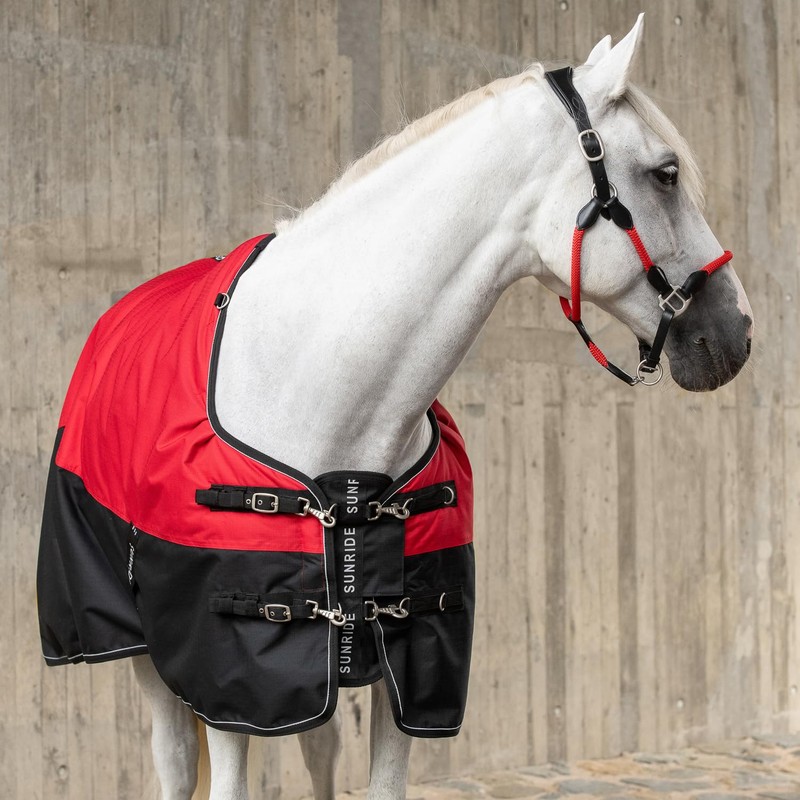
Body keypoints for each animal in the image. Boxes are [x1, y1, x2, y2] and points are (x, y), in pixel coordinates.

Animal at [37, 15, 752, 800]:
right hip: (139, 645)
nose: (738, 331)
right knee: (170, 758)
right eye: (667, 172)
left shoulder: (408, 665)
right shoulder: (228, 681)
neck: (321, 381)